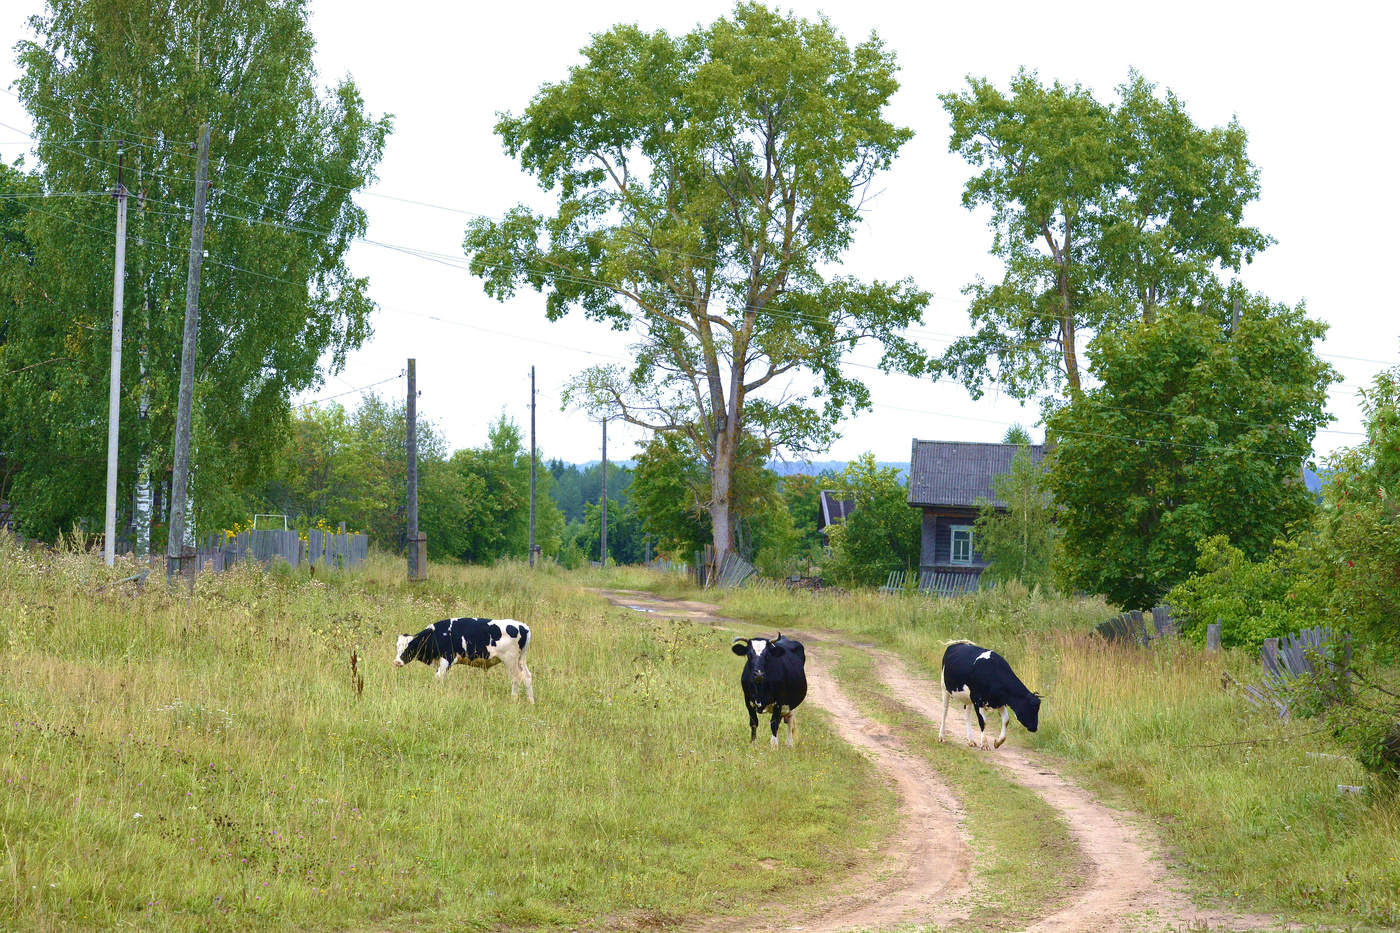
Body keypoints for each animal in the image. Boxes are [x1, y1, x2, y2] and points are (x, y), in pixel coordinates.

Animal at [394, 613, 534, 700]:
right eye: (397, 646)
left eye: (410, 647)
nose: (397, 662)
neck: (437, 634)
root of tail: (524, 626)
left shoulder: (447, 658)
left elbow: (438, 677)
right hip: (521, 659)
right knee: (527, 676)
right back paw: (531, 702)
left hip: (510, 659)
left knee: (516, 678)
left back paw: (513, 699)